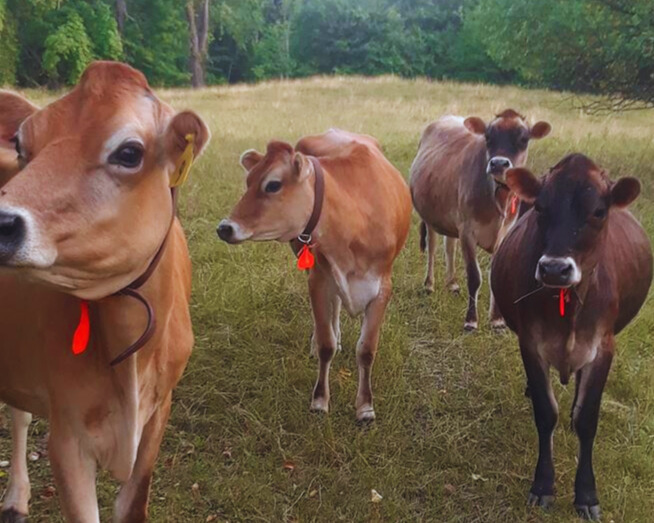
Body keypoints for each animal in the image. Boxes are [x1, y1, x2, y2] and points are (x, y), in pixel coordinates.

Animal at [217, 129, 411, 422]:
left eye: (272, 185)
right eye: (248, 181)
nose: (224, 228)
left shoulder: (382, 287)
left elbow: (366, 349)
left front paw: (365, 407)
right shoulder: (319, 279)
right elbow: (325, 344)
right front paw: (320, 400)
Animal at [410, 109, 551, 331]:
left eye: (523, 139)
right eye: (488, 137)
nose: (499, 163)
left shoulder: (504, 233)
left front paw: (497, 320)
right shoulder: (468, 230)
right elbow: (474, 277)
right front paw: (471, 321)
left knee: (449, 245)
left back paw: (452, 284)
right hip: (430, 214)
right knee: (432, 246)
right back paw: (429, 284)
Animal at [490, 154, 652, 520]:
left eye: (599, 211)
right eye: (540, 208)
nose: (554, 268)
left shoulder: (603, 347)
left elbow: (586, 417)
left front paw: (586, 494)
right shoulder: (531, 344)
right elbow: (545, 411)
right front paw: (543, 486)